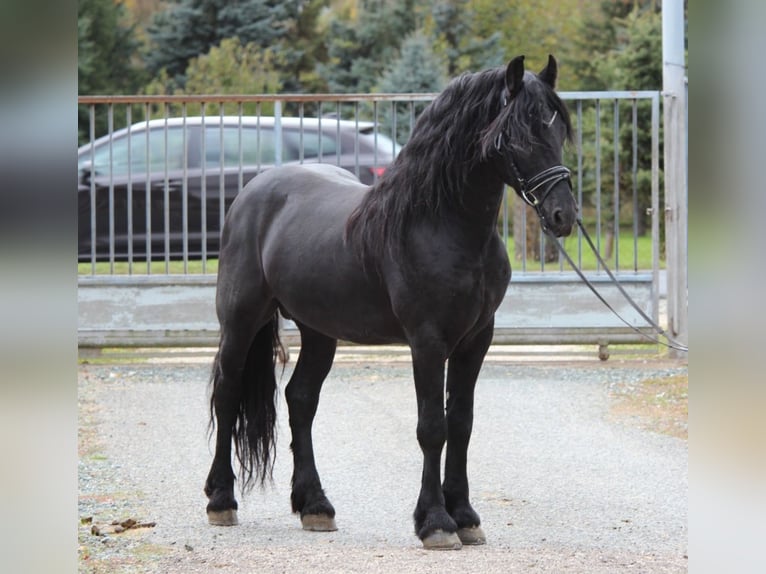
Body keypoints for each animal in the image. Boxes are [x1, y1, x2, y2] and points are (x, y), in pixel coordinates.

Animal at [204, 56, 576, 552]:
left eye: (557, 130)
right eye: (516, 136)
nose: (563, 216)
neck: (441, 225)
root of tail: (252, 191)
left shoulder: (476, 340)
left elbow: (461, 423)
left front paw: (466, 516)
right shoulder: (427, 340)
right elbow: (432, 427)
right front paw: (436, 522)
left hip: (319, 330)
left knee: (300, 399)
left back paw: (315, 506)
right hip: (241, 319)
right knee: (228, 391)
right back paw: (221, 499)